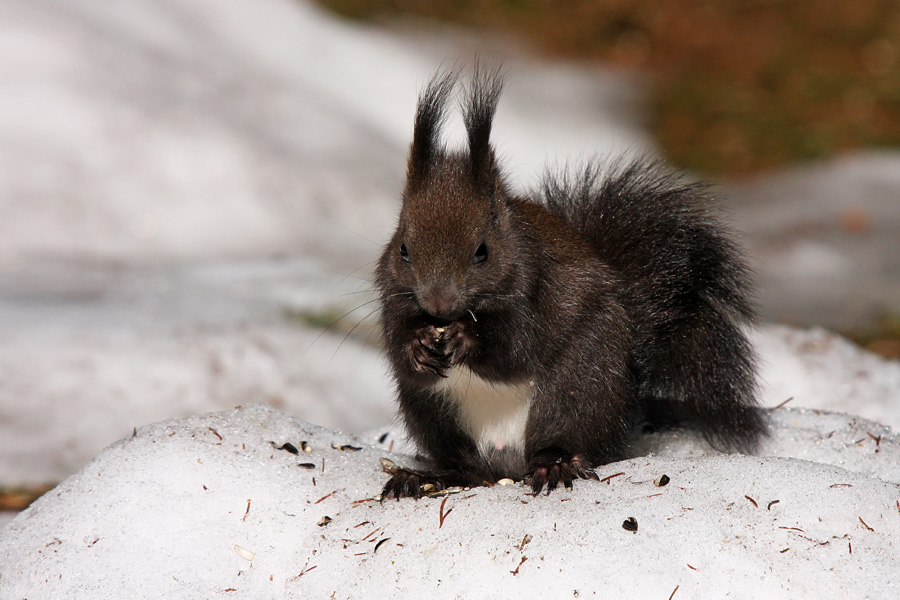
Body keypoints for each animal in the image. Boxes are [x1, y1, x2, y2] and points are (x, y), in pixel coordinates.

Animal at [372, 68, 768, 500]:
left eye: (482, 252)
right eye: (404, 249)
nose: (438, 305)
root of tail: (507, 460)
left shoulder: (537, 291)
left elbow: (515, 350)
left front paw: (467, 339)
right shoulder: (392, 296)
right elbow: (397, 347)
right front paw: (416, 347)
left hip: (576, 387)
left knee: (563, 440)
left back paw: (555, 465)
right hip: (434, 414)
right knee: (465, 466)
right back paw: (427, 477)